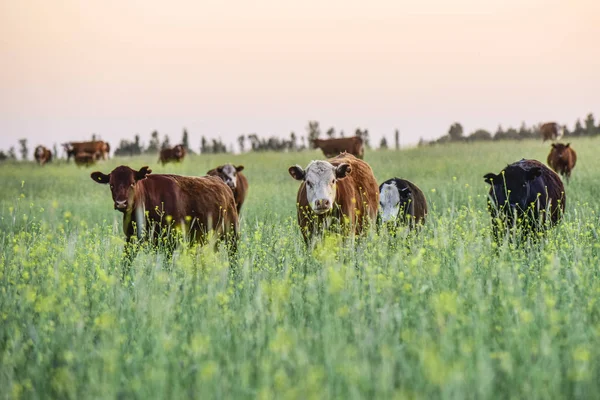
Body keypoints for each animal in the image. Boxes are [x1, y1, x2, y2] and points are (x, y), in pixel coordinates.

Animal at [89, 165, 239, 260]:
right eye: (111, 185)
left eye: (132, 183)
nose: (121, 203)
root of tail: (223, 185)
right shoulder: (131, 239)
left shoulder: (169, 243)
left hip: (232, 236)